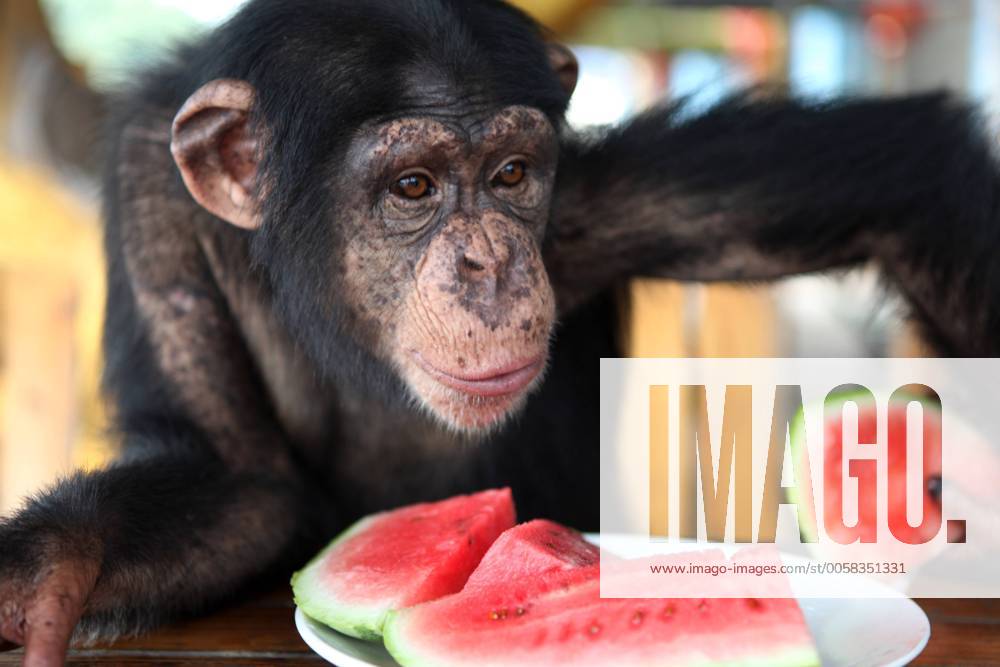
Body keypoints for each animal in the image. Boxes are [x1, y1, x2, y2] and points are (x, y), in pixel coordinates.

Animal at [3, 0, 999, 664]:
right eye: (412, 185)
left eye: (512, 172)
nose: (489, 259)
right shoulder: (151, 195)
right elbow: (238, 473)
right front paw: (51, 567)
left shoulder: (602, 198)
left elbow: (904, 191)